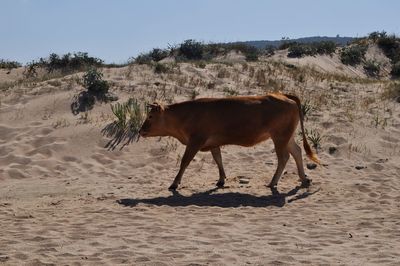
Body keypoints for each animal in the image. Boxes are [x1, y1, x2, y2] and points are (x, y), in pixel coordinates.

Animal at [139, 92, 320, 190]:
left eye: (150, 116)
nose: (140, 131)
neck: (186, 115)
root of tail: (282, 95)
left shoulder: (195, 141)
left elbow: (185, 162)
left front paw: (174, 183)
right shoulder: (213, 143)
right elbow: (218, 160)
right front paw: (221, 179)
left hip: (280, 137)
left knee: (284, 158)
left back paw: (272, 182)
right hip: (286, 137)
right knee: (297, 152)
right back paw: (304, 178)